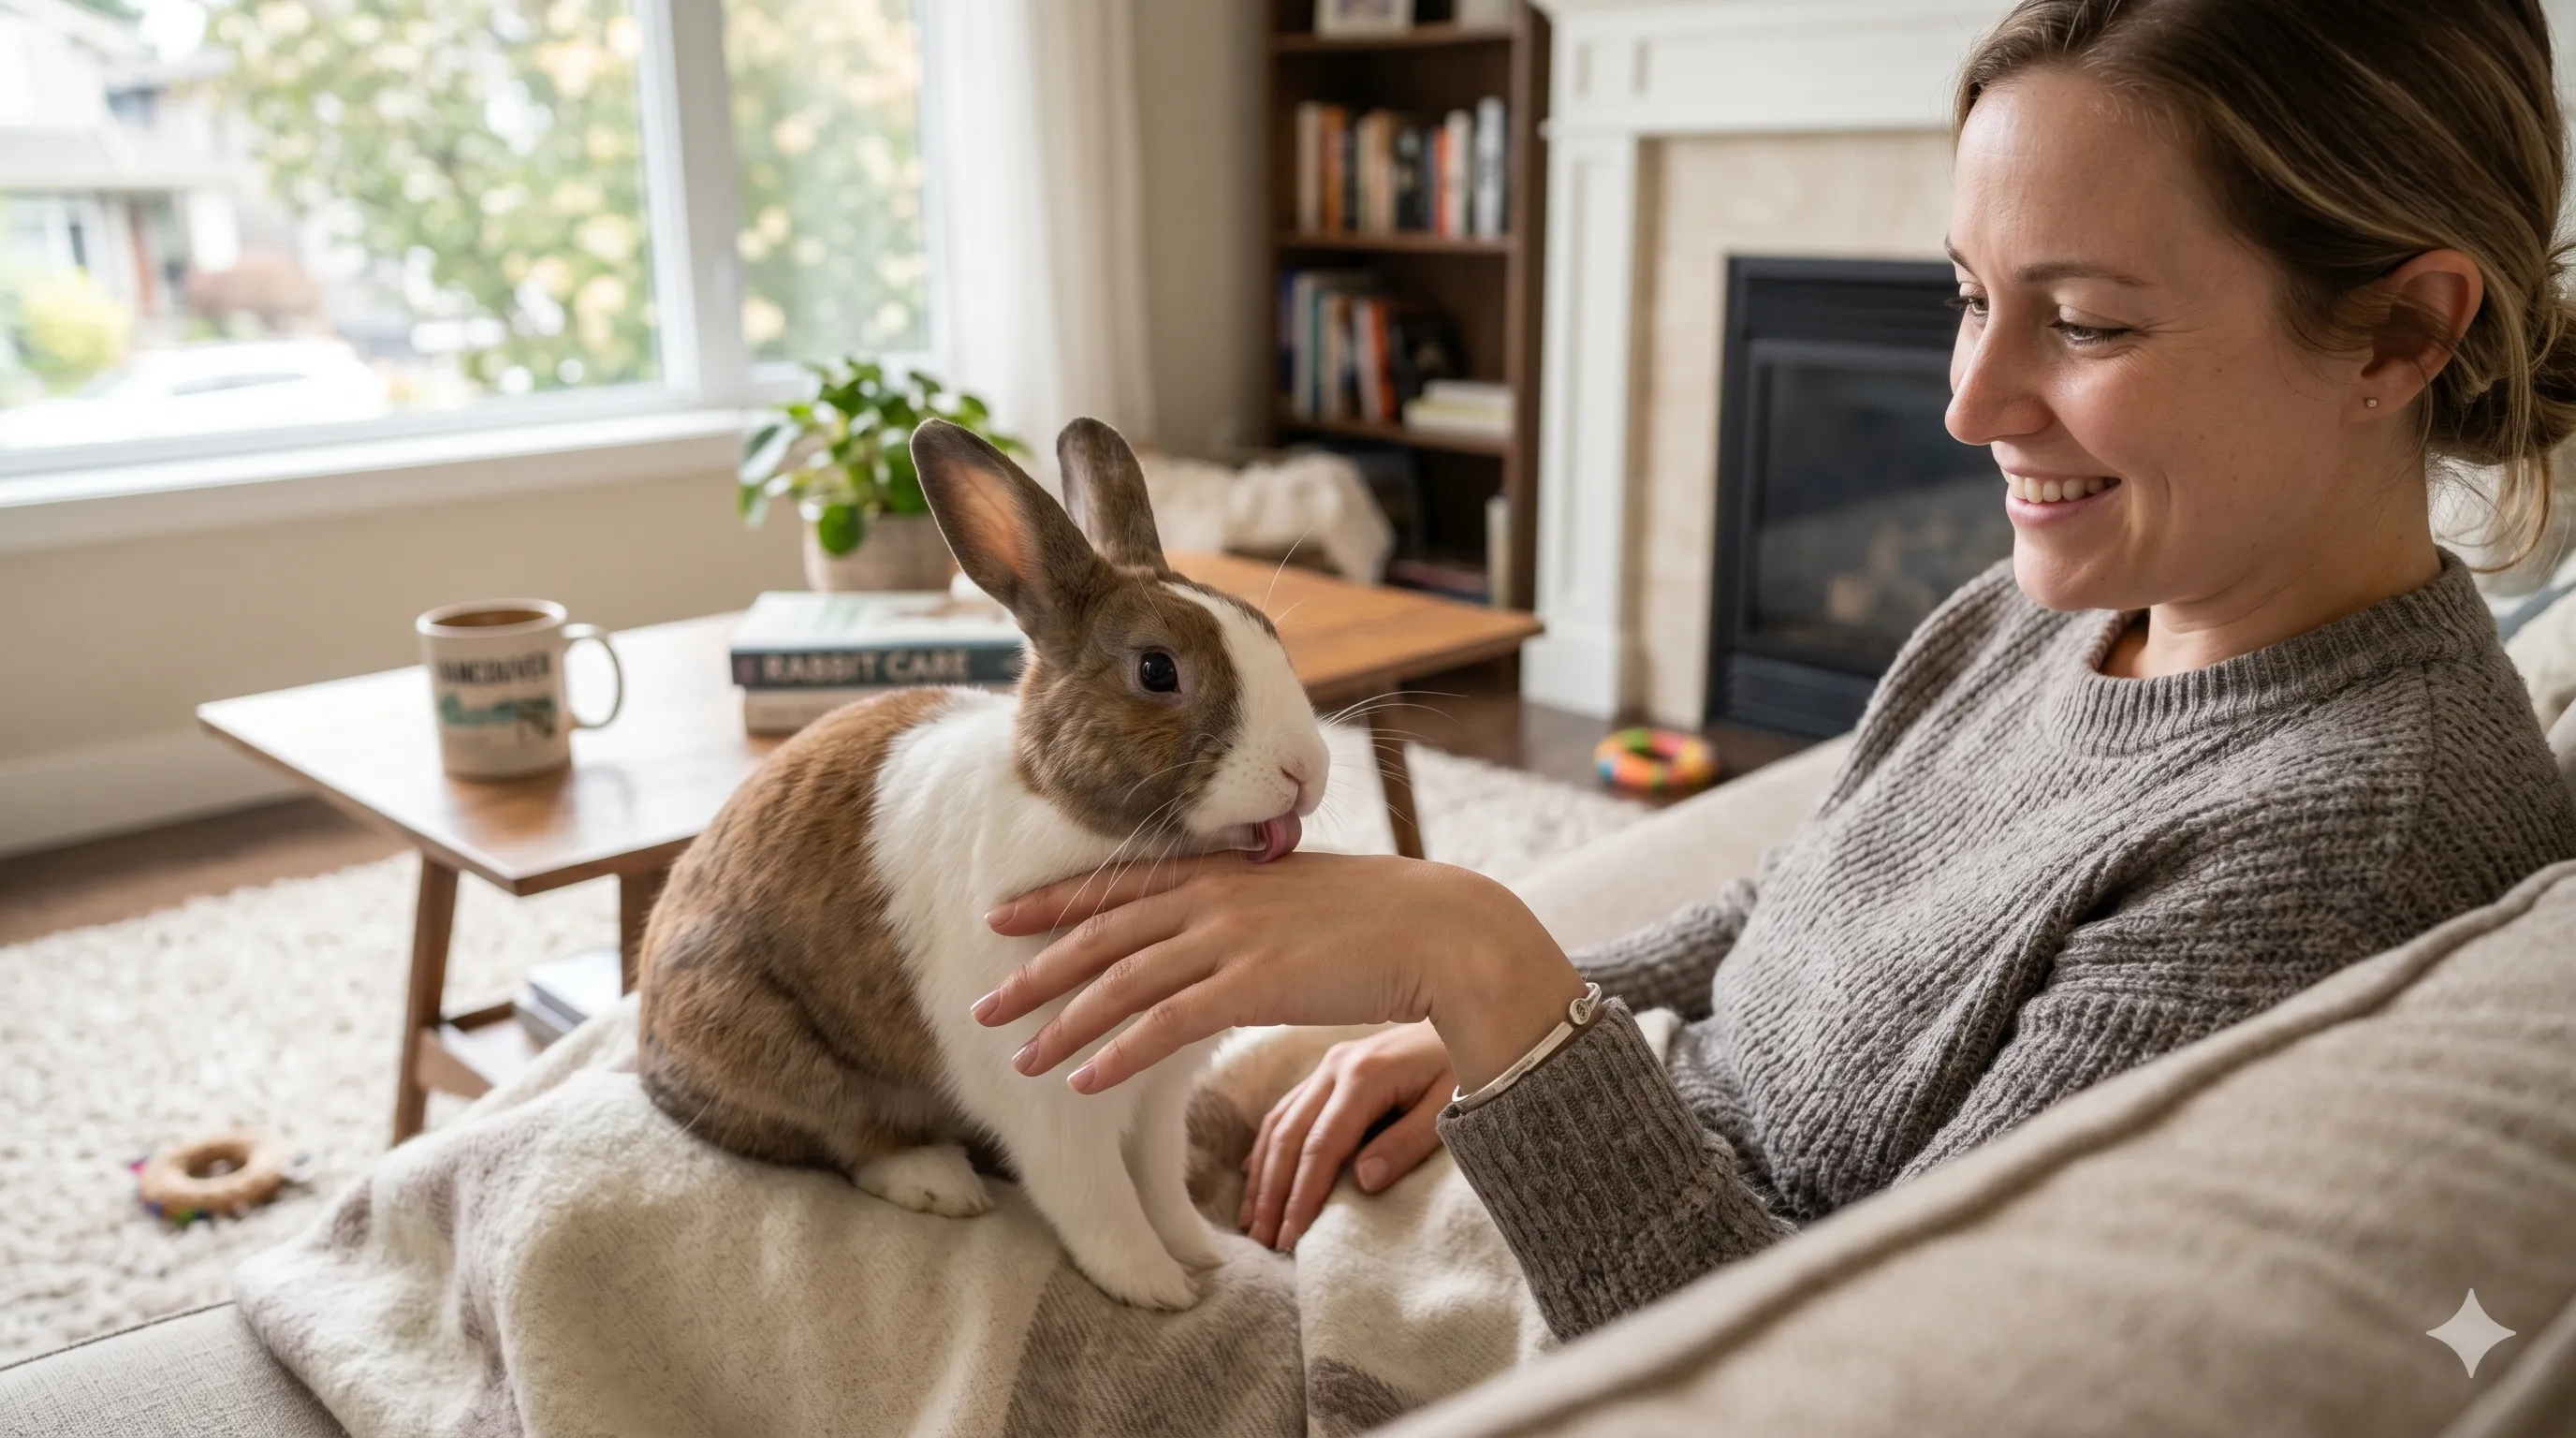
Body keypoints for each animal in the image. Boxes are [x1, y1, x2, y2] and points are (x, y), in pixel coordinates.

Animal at [638, 416, 1331, 1311]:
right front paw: (1153, 1285)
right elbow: (1098, 1196)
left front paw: (1197, 1250)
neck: (1091, 826)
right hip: (770, 1049)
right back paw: (940, 1183)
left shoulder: (1158, 1088)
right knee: (846, 1138)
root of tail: (650, 1061)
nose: (1305, 768)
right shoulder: (1052, 1093)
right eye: (1156, 670)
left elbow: (1158, 1178)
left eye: (1266, 631)